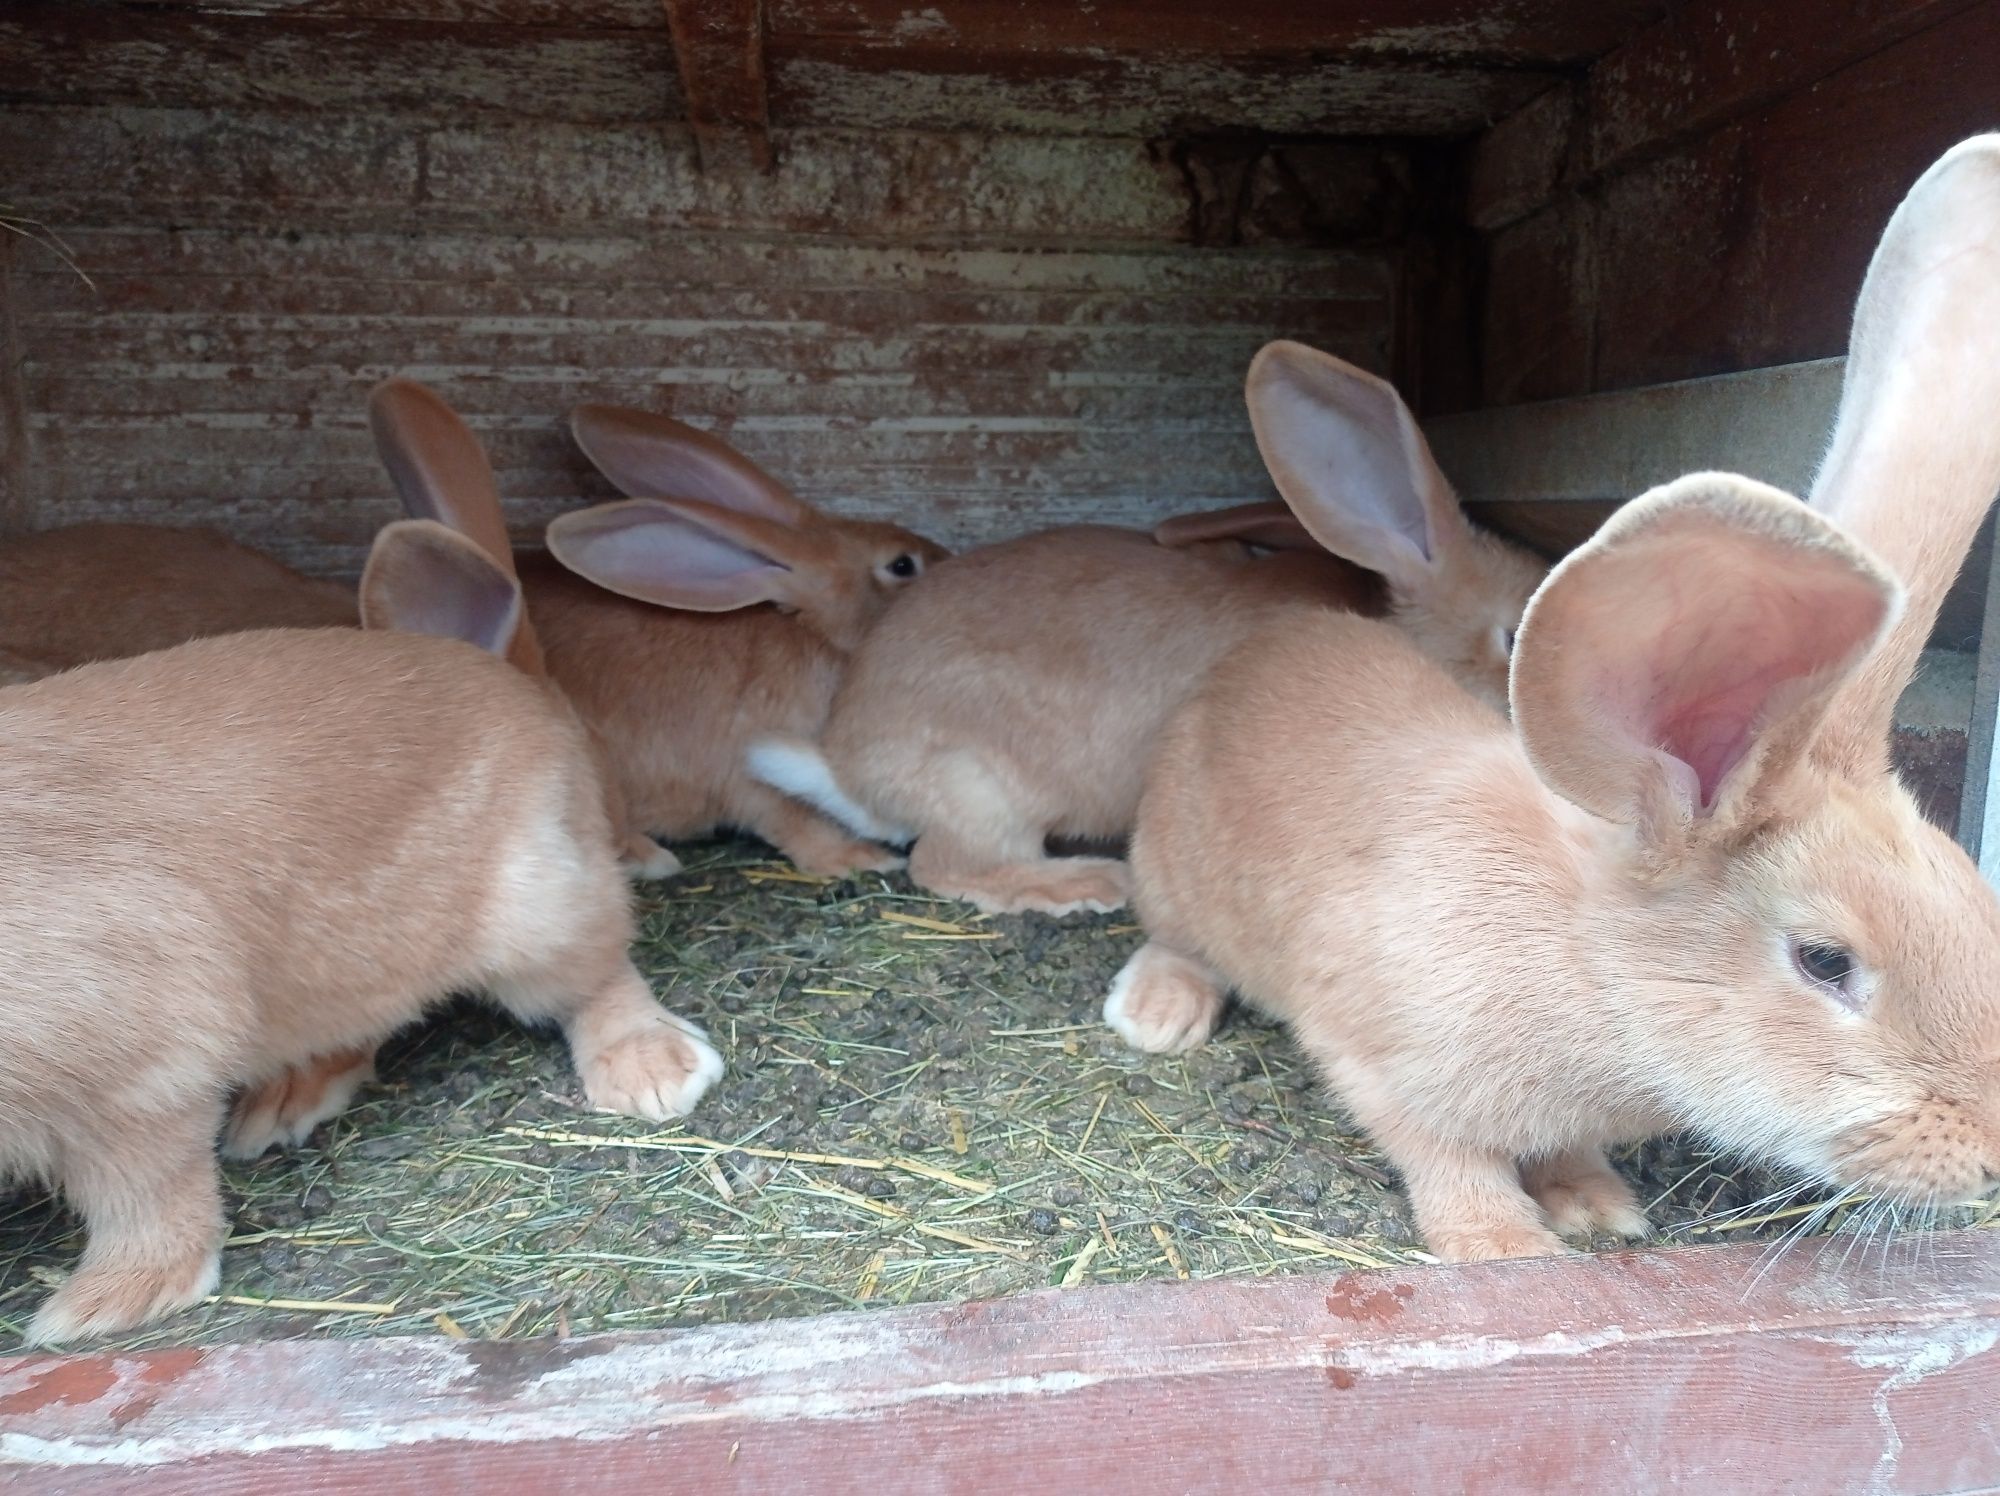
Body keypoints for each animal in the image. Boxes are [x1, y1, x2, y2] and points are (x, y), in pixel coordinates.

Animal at [0, 516, 720, 1344]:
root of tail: (500, 680)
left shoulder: (141, 1064)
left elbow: (142, 1191)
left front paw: (98, 1306)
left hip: (536, 911)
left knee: (595, 972)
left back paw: (653, 1071)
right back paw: (284, 1103)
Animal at [1104, 137, 2000, 1264]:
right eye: (1824, 960)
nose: (1990, 1154)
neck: (1586, 956)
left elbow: (1564, 1150)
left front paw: (1595, 1204)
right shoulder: (1381, 1058)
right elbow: (1447, 1157)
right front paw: (1507, 1247)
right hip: (1172, 876)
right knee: (1176, 935)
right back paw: (1158, 1010)